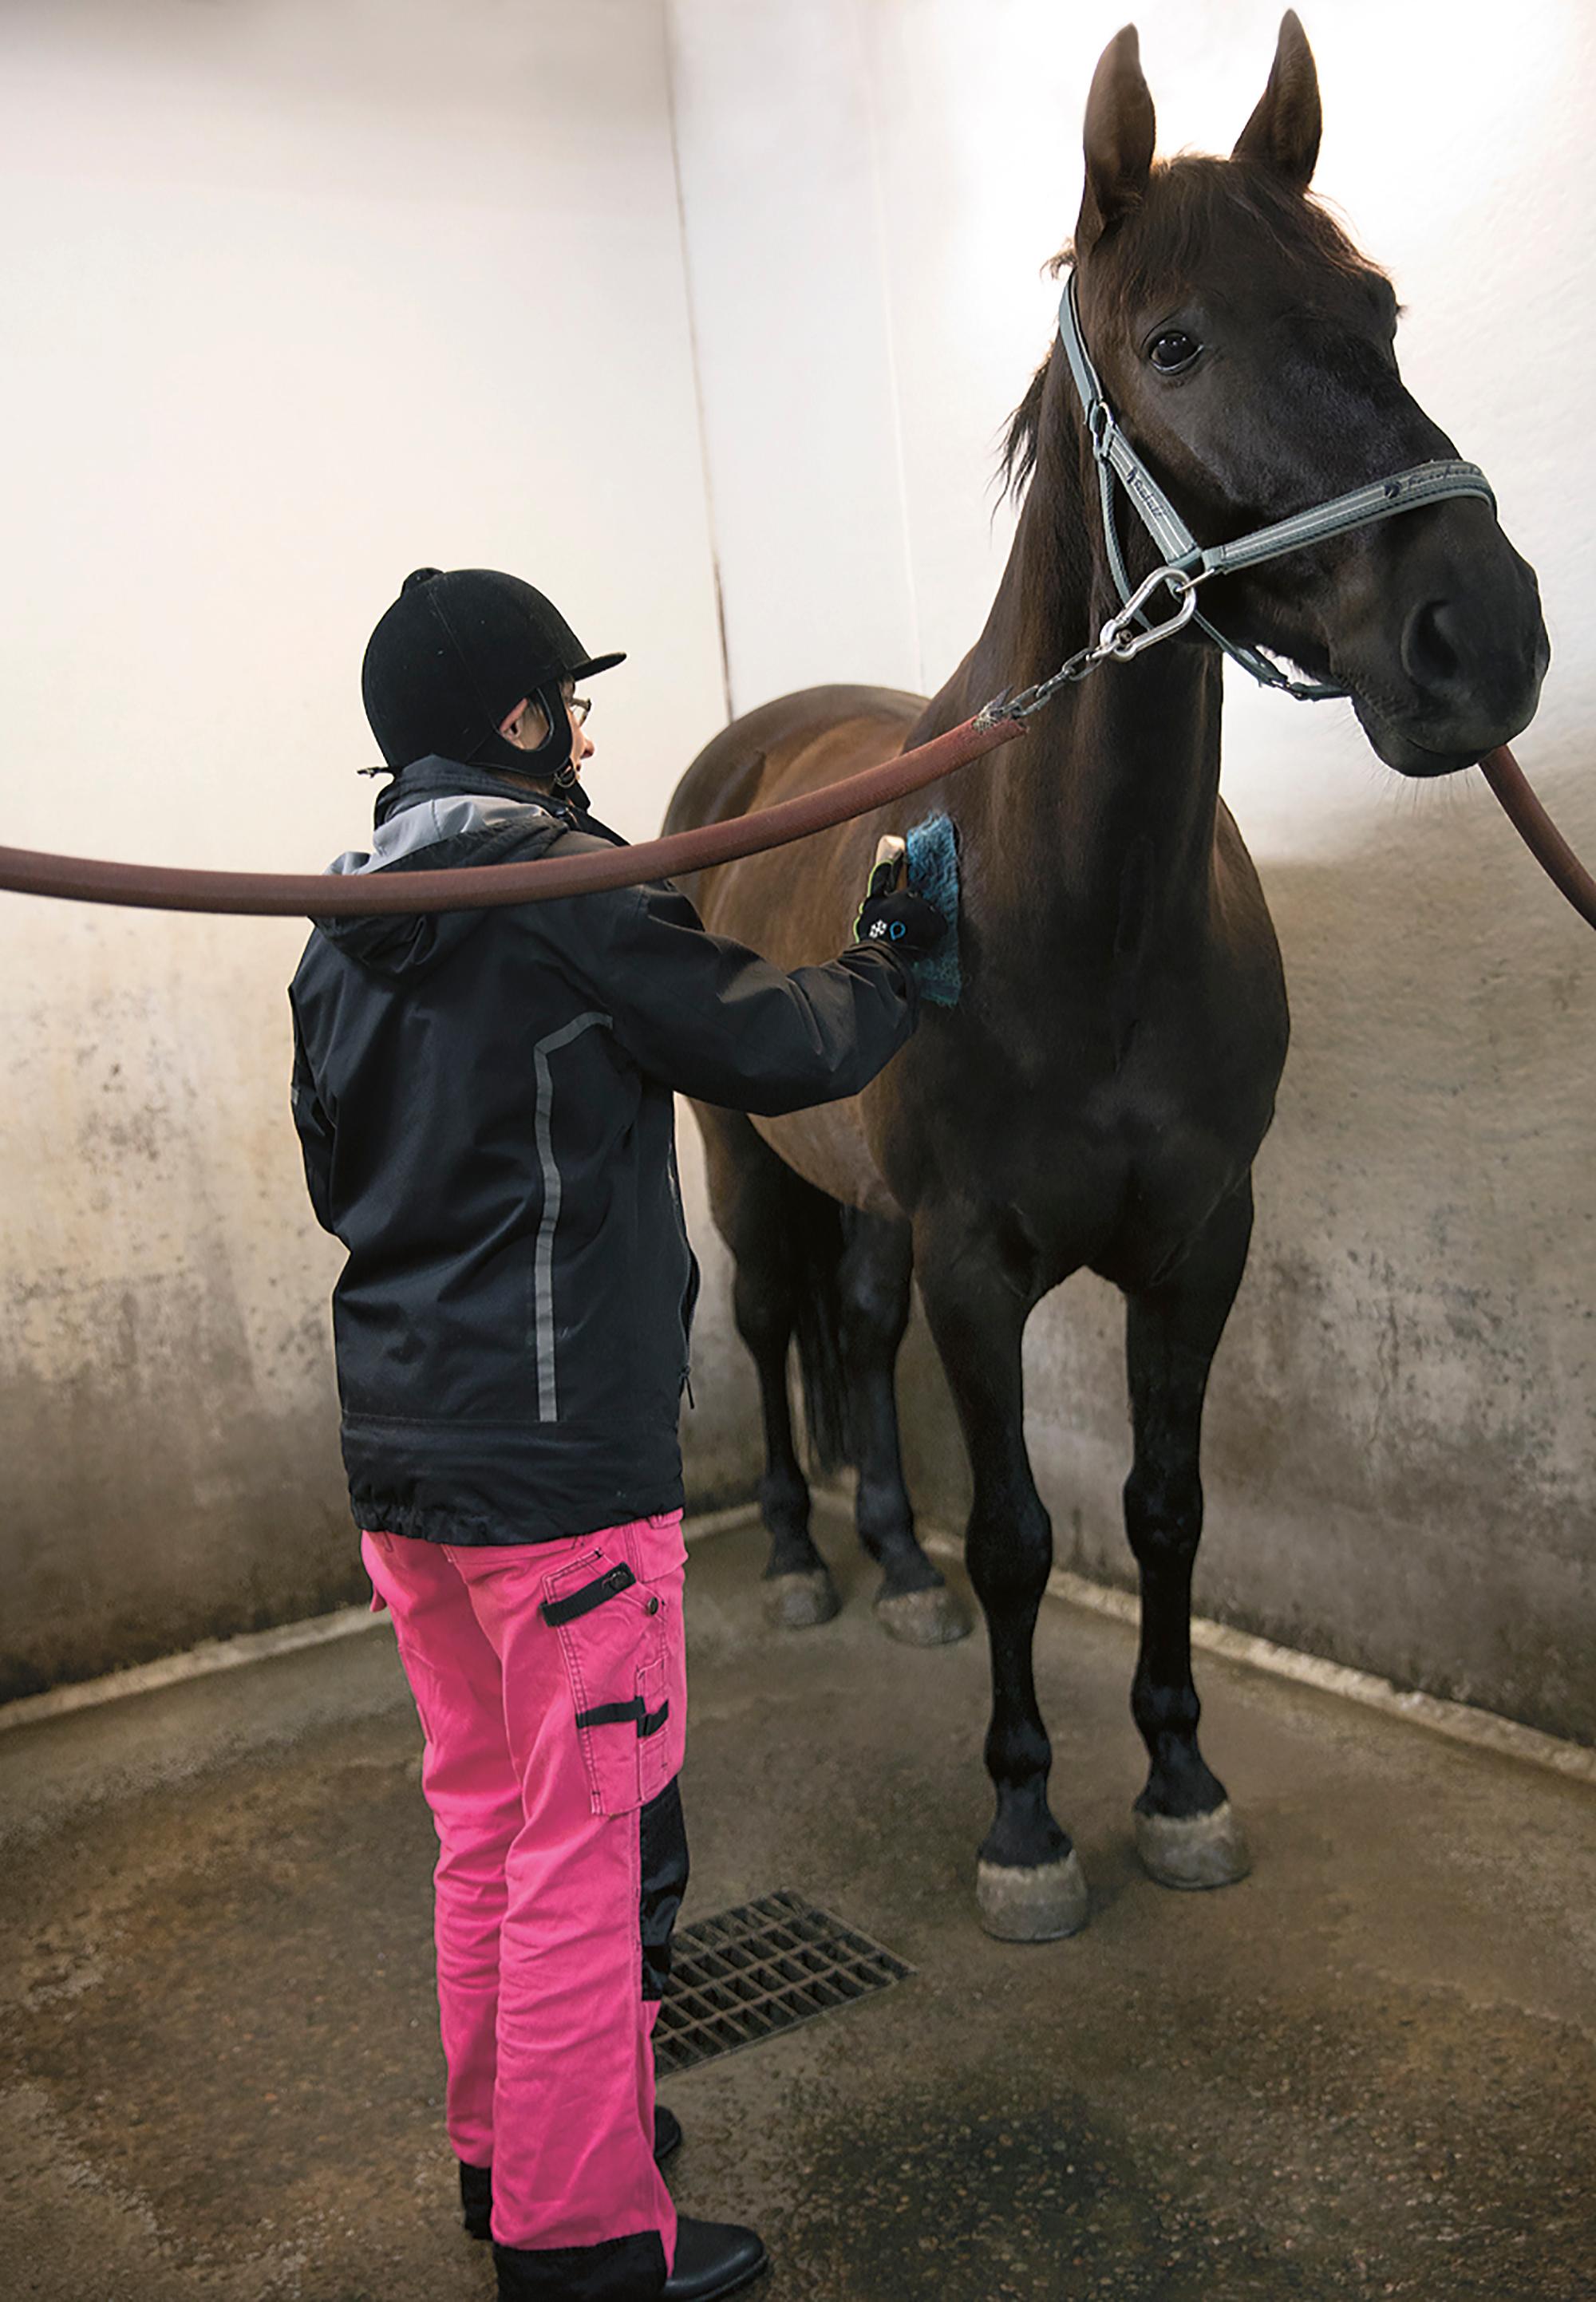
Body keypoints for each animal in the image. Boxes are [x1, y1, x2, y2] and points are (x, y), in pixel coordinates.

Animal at [658, 13, 1547, 1942]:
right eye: (1174, 342)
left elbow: (1161, 1511)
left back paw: (892, 1562)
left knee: (849, 1335)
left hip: (864, 1203)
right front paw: (1025, 1822)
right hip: (746, 1163)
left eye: (1380, 309)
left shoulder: (1195, 1241)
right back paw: (801, 1556)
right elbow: (1021, 1535)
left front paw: (1181, 1783)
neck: (1082, 918)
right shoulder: (980, 1260)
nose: (1483, 636)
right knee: (768, 1330)